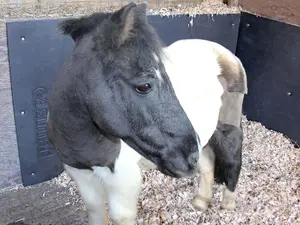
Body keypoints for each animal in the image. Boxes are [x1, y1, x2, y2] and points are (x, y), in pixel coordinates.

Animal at [47, 2, 246, 225]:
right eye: (144, 86)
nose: (188, 156)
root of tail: (224, 53)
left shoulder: (123, 180)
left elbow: (119, 215)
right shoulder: (81, 175)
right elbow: (95, 210)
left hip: (227, 125)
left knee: (232, 158)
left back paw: (228, 203)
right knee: (207, 162)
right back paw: (201, 201)